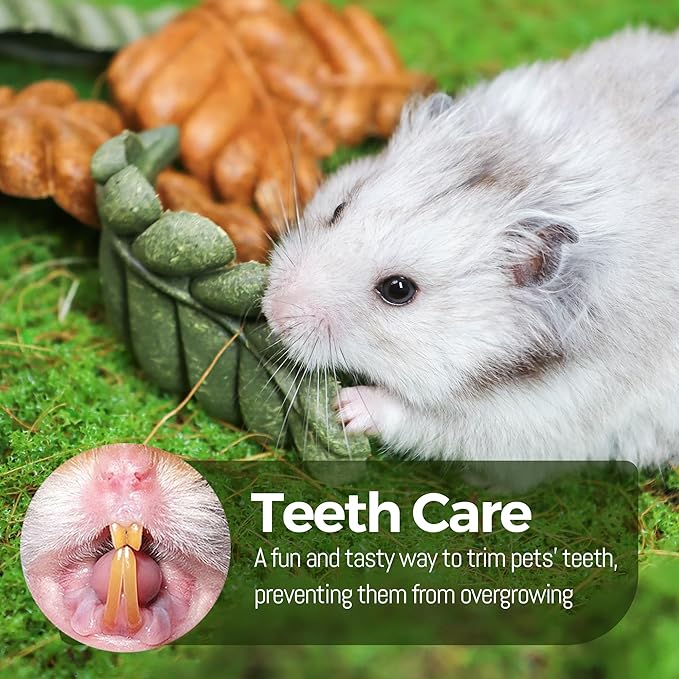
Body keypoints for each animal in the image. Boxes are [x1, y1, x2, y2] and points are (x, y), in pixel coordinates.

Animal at [262, 27, 679, 481]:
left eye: (398, 290)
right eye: (339, 210)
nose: (272, 312)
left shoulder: (535, 423)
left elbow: (427, 419)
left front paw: (346, 408)